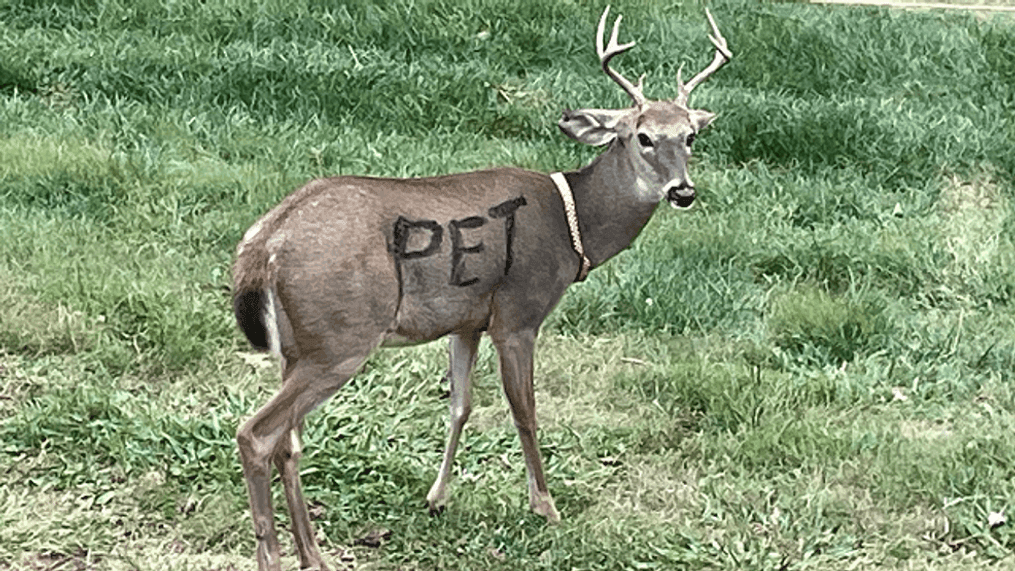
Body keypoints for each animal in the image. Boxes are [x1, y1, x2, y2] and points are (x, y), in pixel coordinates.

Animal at [230, 6, 730, 567]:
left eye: (689, 137)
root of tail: (263, 243)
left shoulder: (465, 319)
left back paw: (312, 553)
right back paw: (276, 554)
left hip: (298, 346)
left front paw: (437, 497)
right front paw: (545, 505)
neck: (573, 226)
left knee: (288, 441)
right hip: (342, 335)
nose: (683, 191)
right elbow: (525, 410)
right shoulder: (519, 312)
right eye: (642, 136)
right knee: (257, 433)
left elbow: (460, 405)